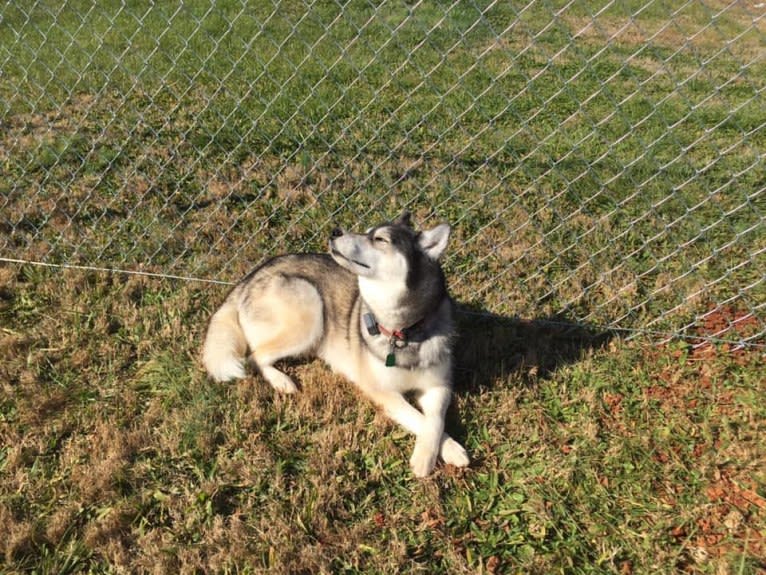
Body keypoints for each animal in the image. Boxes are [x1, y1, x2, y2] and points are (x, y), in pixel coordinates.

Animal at [202, 212, 468, 476]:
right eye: (367, 231)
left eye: (380, 239)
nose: (336, 231)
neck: (403, 333)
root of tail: (247, 280)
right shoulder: (381, 390)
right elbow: (416, 417)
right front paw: (439, 453)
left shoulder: (439, 385)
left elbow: (434, 420)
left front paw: (439, 452)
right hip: (311, 306)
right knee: (255, 356)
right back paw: (281, 381)